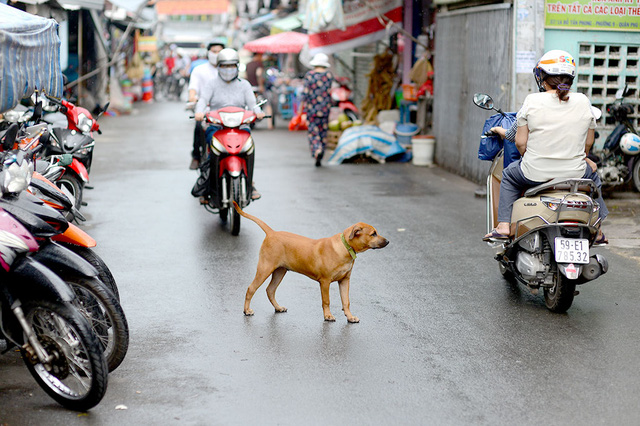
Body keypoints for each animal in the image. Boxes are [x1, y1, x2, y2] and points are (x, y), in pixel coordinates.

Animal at [232, 203, 388, 322]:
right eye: (373, 234)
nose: (388, 241)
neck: (344, 247)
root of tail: (271, 232)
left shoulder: (344, 280)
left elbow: (346, 301)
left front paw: (350, 317)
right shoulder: (325, 281)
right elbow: (326, 301)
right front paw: (328, 316)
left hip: (280, 271)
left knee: (270, 290)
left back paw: (278, 307)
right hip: (265, 268)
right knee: (251, 288)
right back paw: (246, 310)